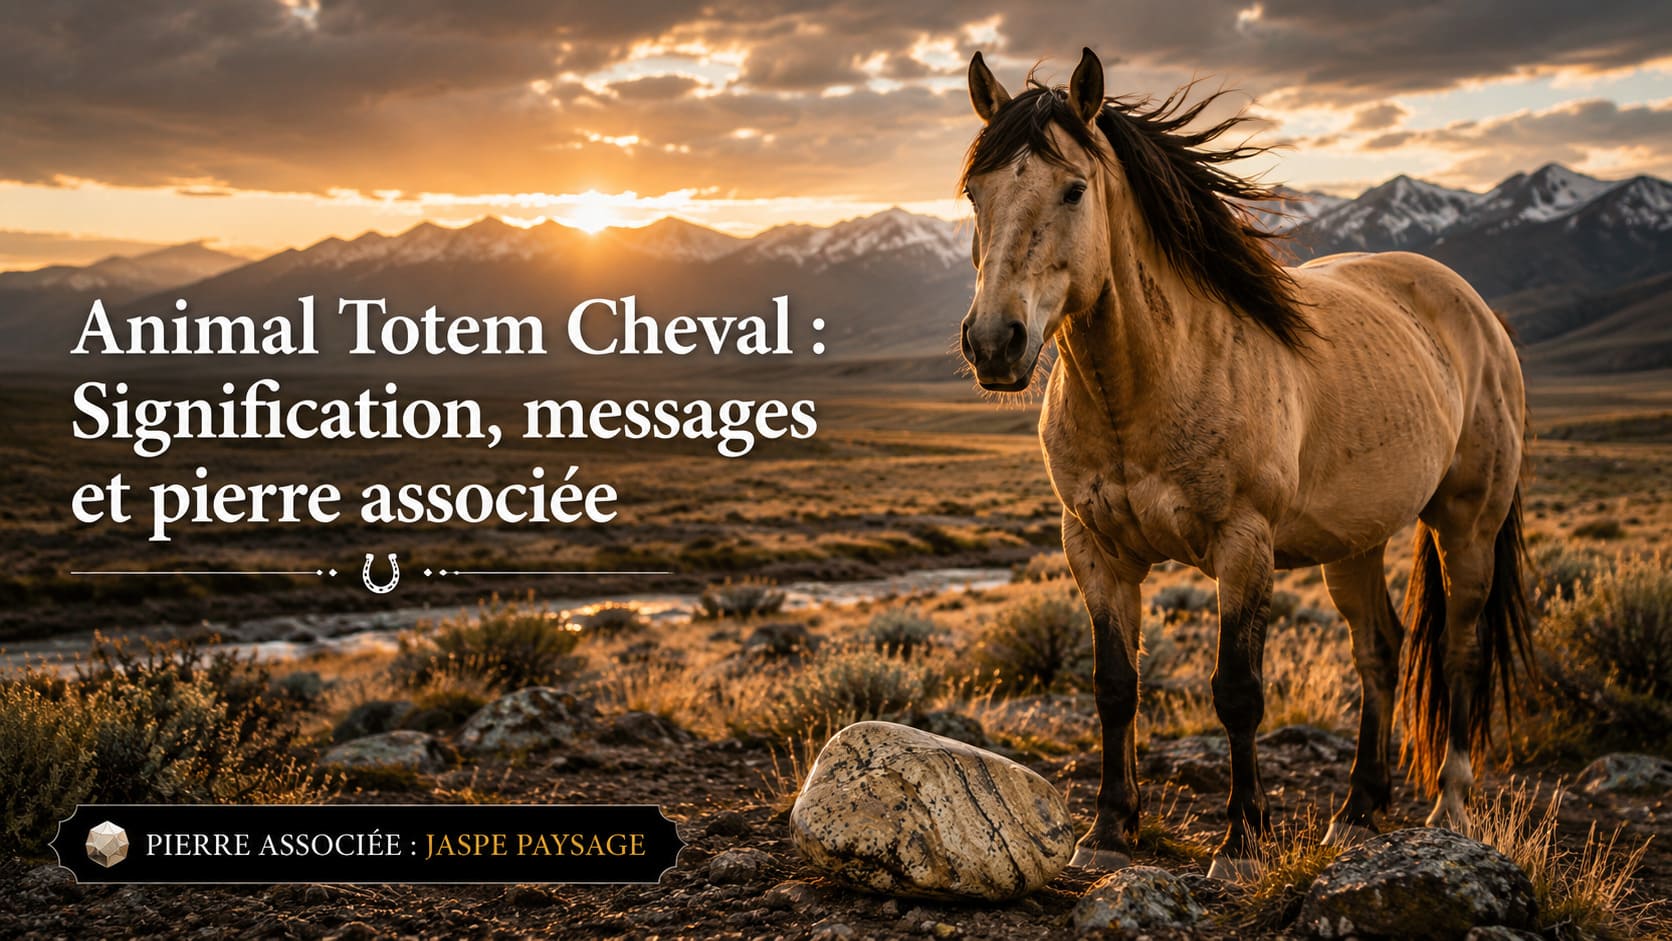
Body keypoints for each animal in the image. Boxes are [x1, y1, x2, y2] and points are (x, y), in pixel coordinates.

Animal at [958, 48, 1534, 878]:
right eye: (976, 192)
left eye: (1073, 189)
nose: (993, 342)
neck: (1146, 382)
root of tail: (1479, 313)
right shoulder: (1093, 547)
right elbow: (1114, 684)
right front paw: (1109, 828)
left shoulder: (1243, 544)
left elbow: (1237, 690)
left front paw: (1241, 840)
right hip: (1353, 540)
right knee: (1381, 648)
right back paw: (1356, 811)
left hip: (1467, 526)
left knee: (1460, 644)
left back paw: (1447, 807)